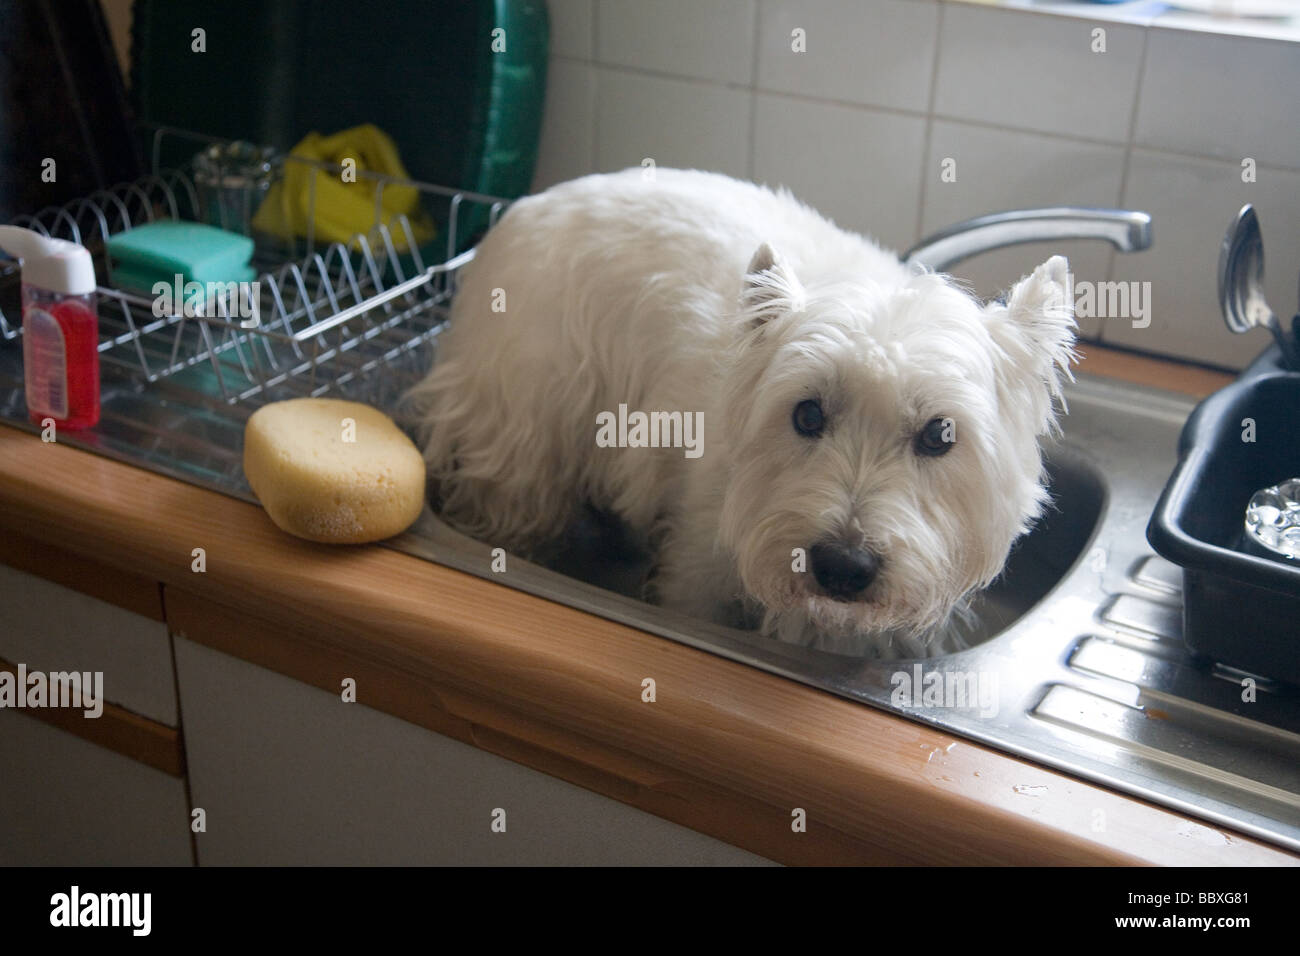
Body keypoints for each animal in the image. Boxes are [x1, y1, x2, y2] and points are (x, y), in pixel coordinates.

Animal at [408, 167, 1076, 658]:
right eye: (806, 415)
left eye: (939, 434)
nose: (842, 566)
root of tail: (519, 210)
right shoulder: (697, 568)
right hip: (521, 416)